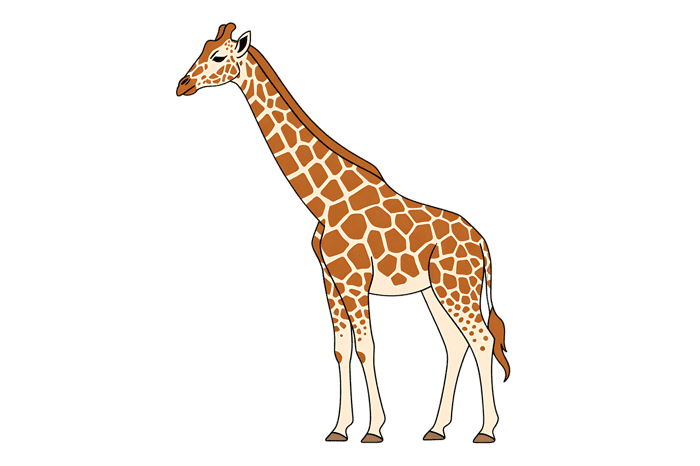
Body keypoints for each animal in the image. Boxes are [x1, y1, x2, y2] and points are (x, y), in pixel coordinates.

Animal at [176, 23, 510, 444]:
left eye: (219, 56)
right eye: (203, 49)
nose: (182, 85)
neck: (324, 200)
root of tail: (482, 244)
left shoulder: (354, 280)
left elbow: (366, 347)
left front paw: (374, 429)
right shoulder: (330, 279)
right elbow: (341, 348)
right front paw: (339, 428)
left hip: (457, 287)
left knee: (482, 340)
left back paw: (486, 430)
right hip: (435, 291)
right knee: (456, 343)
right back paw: (436, 428)